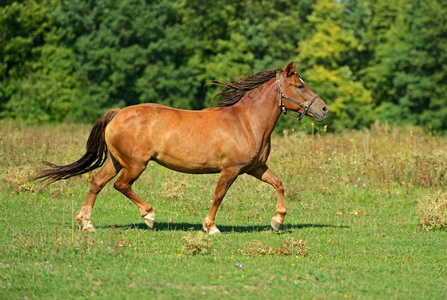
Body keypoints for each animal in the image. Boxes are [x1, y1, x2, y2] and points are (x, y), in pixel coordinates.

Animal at [36, 61, 328, 234]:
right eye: (299, 86)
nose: (324, 109)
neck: (246, 121)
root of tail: (118, 113)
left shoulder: (255, 167)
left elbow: (279, 184)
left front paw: (277, 221)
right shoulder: (231, 169)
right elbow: (218, 196)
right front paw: (211, 228)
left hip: (117, 161)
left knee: (97, 182)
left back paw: (86, 223)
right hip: (135, 164)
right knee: (121, 185)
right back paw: (148, 215)